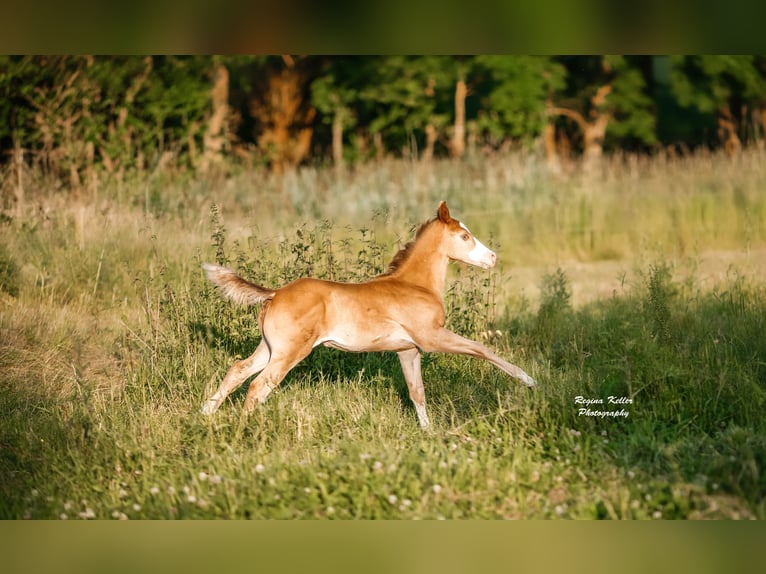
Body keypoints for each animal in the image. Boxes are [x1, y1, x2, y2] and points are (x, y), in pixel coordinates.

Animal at [201, 200, 536, 430]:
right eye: (465, 236)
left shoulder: (408, 350)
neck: (416, 284)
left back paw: (204, 414)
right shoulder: (432, 337)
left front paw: (428, 433)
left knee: (238, 370)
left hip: (270, 347)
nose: (492, 258)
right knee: (259, 386)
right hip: (290, 351)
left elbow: (417, 392)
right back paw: (243, 429)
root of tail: (276, 293)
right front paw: (528, 380)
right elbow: (481, 349)